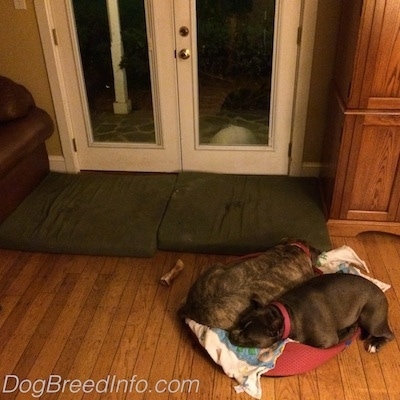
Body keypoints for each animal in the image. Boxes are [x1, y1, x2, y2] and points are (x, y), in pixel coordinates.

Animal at [228, 274, 394, 352]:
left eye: (247, 337)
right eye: (240, 322)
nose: (231, 334)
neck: (285, 314)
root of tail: (380, 291)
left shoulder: (327, 341)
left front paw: (348, 331)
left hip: (370, 319)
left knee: (388, 335)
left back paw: (374, 344)